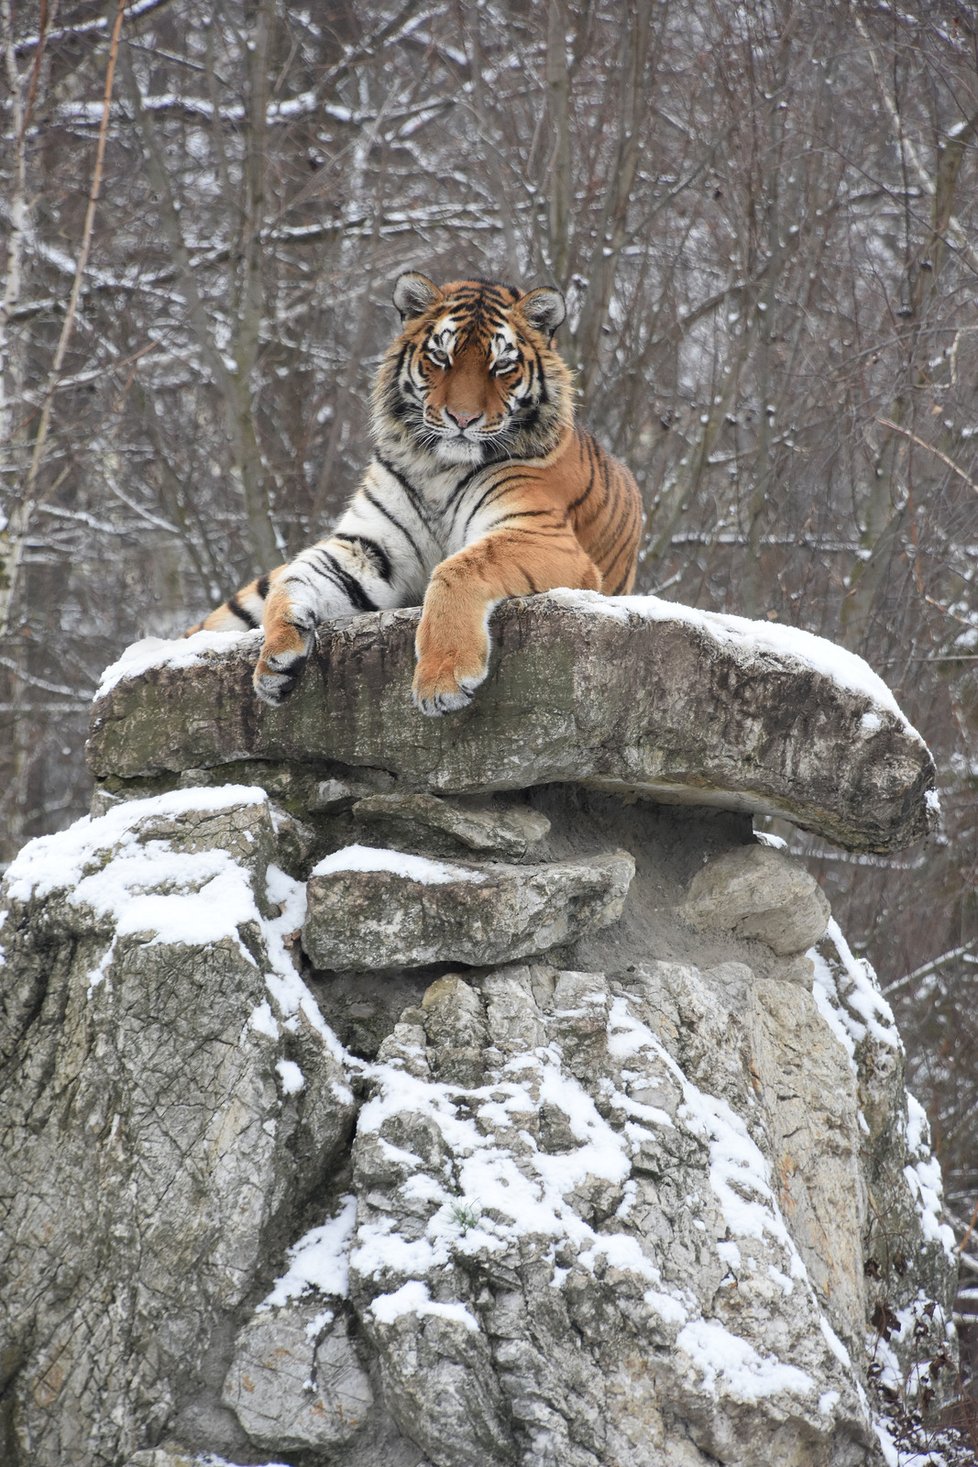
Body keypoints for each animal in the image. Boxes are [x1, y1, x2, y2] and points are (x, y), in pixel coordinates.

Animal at [193, 272, 651, 718]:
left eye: (501, 365)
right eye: (441, 358)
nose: (462, 419)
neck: (438, 469)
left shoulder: (540, 534)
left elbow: (456, 568)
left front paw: (442, 679)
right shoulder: (366, 548)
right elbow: (295, 578)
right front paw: (275, 658)